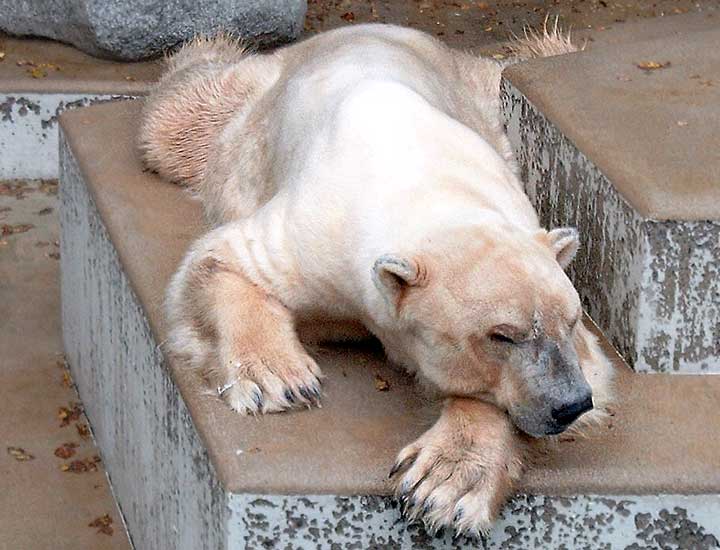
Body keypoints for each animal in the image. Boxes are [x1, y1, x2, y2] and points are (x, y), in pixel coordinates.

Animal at [139, 24, 612, 540]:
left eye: (571, 321)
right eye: (501, 335)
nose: (570, 404)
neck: (428, 193)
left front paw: (443, 483)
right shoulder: (318, 233)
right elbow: (223, 260)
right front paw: (279, 379)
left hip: (489, 104)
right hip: (238, 114)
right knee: (174, 121)